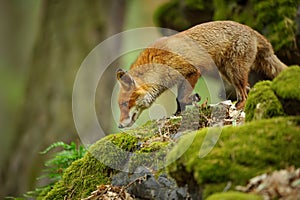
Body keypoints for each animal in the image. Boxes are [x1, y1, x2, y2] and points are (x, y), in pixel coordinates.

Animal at [116, 20, 288, 128]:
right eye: (120, 106)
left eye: (124, 104)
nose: (119, 125)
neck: (157, 63)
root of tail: (251, 30)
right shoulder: (180, 79)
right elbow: (179, 100)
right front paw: (178, 114)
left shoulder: (192, 71)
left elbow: (181, 97)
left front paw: (193, 101)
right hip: (227, 73)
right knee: (247, 90)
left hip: (235, 72)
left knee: (244, 95)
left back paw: (236, 108)